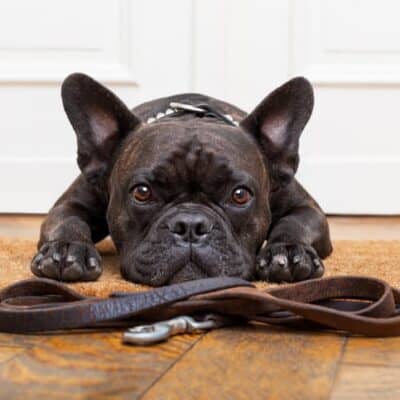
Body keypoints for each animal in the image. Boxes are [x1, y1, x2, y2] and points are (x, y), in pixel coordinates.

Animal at [30, 72, 332, 284]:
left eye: (240, 195)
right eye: (142, 192)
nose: (190, 225)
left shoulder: (307, 208)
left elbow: (295, 223)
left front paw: (289, 252)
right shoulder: (70, 204)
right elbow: (68, 221)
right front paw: (68, 249)